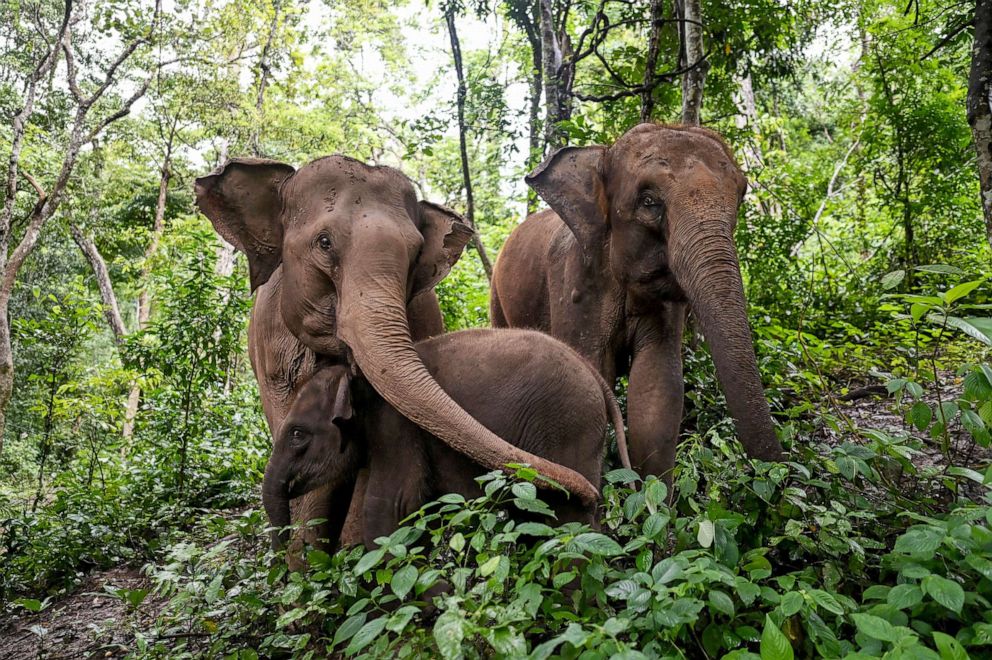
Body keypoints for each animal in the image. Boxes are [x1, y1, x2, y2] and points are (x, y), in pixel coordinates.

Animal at [264, 328, 632, 548]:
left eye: (297, 434)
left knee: (569, 517)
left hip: (568, 426)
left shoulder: (397, 428)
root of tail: (596, 377)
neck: (358, 376)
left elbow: (390, 506)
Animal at [488, 122, 784, 480]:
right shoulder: (575, 282)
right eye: (648, 201)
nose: (778, 471)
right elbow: (591, 370)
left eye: (740, 196)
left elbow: (658, 385)